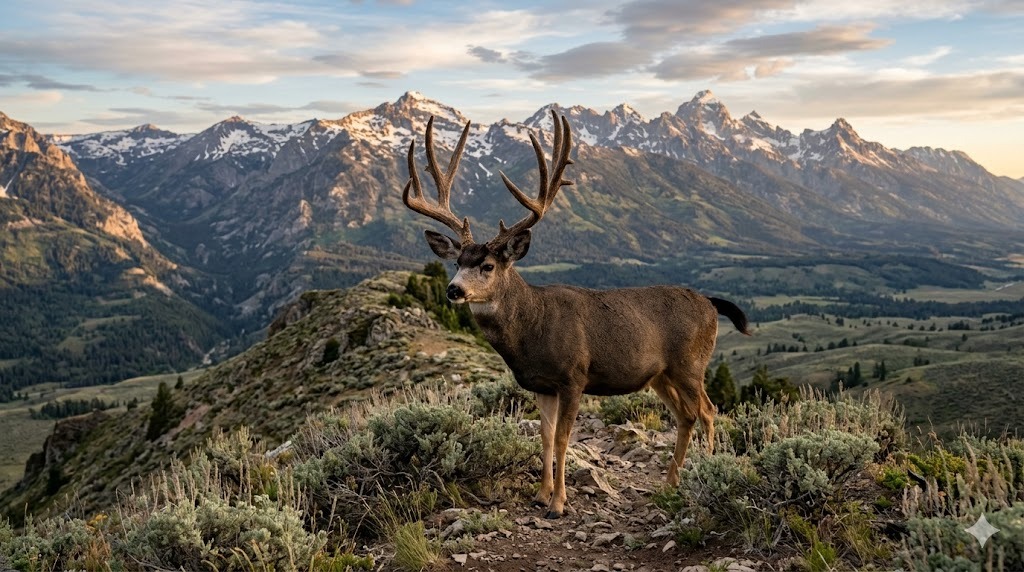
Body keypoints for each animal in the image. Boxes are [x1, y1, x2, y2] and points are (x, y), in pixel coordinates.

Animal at [401, 111, 751, 519]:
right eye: (457, 262)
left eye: (487, 265)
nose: (454, 290)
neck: (532, 328)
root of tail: (710, 303)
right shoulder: (542, 385)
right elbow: (545, 436)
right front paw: (540, 495)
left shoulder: (574, 376)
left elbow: (565, 438)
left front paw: (559, 503)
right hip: (660, 374)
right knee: (687, 415)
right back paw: (670, 482)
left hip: (690, 363)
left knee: (708, 410)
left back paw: (707, 470)